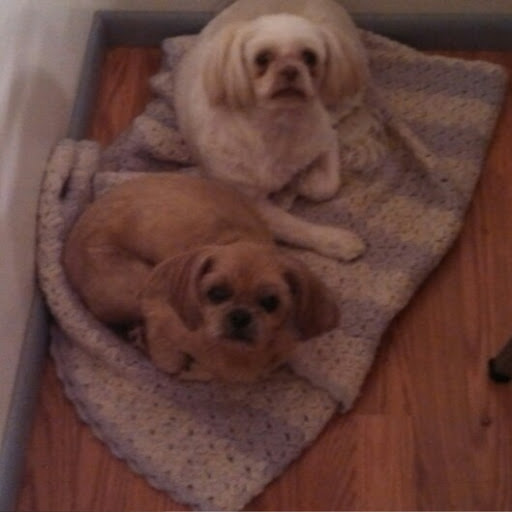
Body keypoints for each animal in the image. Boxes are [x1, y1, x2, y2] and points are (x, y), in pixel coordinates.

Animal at [63, 174, 339, 382]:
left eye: (271, 302)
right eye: (216, 293)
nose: (240, 316)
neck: (234, 354)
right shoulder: (156, 306)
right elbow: (171, 363)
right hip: (134, 286)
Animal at [174, 0, 369, 262]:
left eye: (309, 57)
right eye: (263, 58)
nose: (290, 69)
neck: (278, 126)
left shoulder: (326, 138)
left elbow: (328, 185)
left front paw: (306, 182)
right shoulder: (249, 200)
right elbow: (292, 226)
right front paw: (336, 240)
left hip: (342, 99)